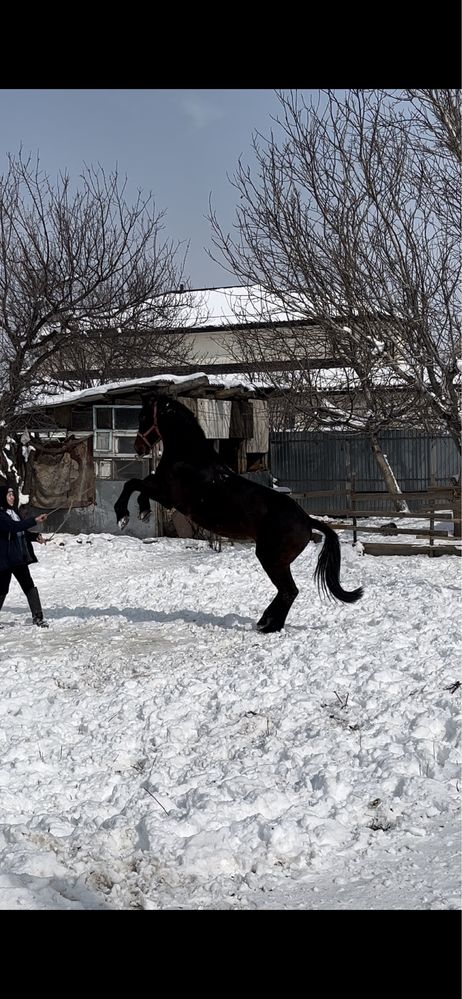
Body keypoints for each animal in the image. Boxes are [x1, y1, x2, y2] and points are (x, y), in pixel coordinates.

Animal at [113, 392, 362, 632]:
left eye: (143, 416)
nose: (138, 448)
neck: (190, 458)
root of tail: (307, 520)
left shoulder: (168, 496)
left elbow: (133, 483)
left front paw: (123, 516)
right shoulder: (162, 491)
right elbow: (140, 484)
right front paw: (143, 511)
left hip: (271, 559)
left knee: (289, 591)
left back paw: (270, 626)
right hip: (277, 561)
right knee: (287, 592)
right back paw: (265, 621)